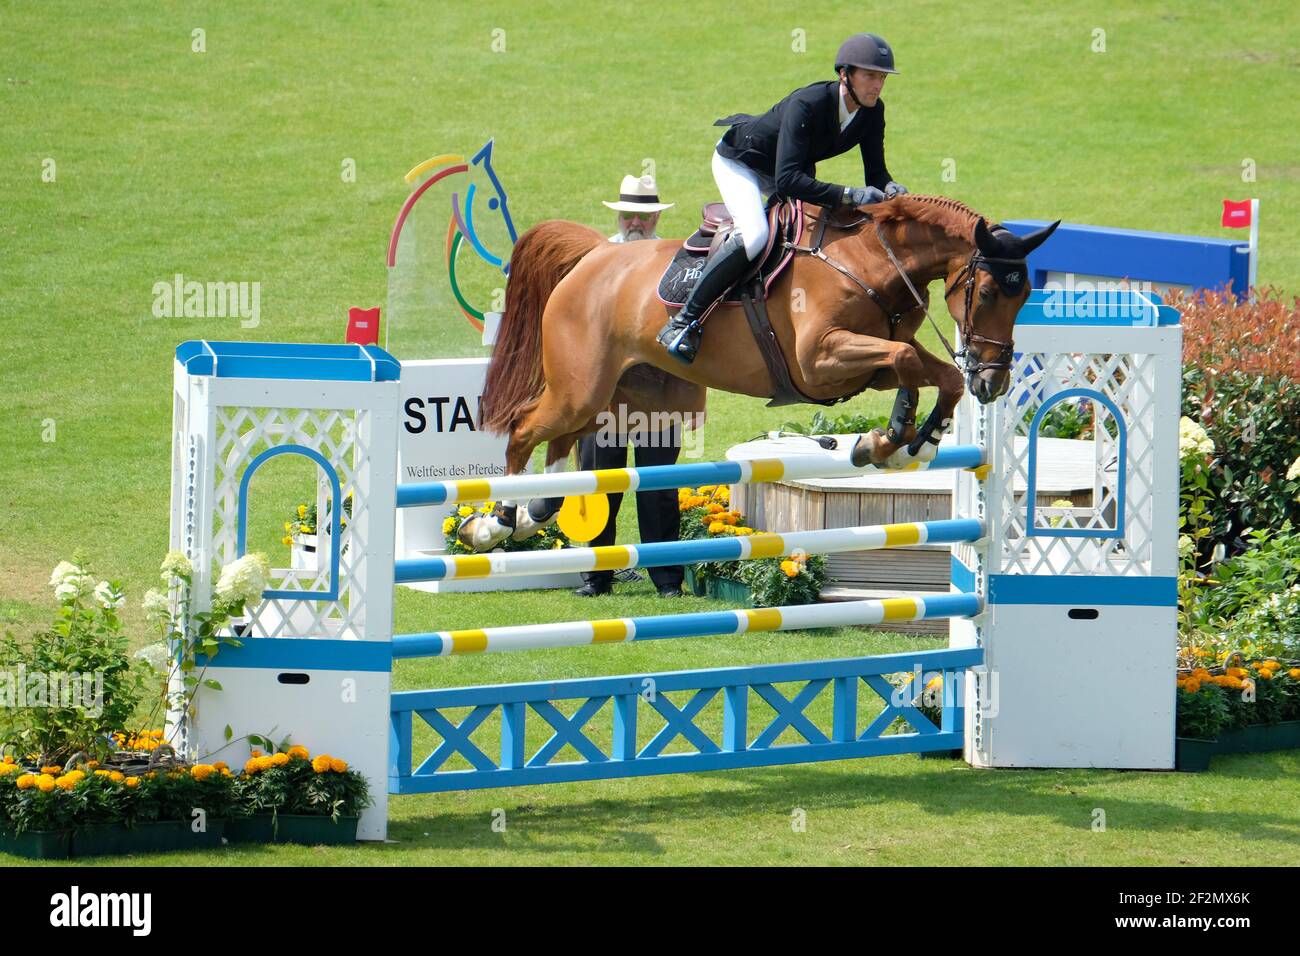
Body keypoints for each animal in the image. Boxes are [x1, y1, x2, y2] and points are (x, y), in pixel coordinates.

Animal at [465, 196, 1055, 546]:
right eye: (987, 292)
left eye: (1025, 293)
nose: (994, 381)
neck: (870, 261)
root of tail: (592, 257)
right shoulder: (820, 362)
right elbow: (909, 363)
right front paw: (887, 439)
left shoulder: (866, 361)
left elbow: (936, 374)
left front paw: (909, 441)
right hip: (580, 388)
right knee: (523, 431)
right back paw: (496, 522)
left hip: (609, 394)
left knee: (561, 443)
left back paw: (535, 511)